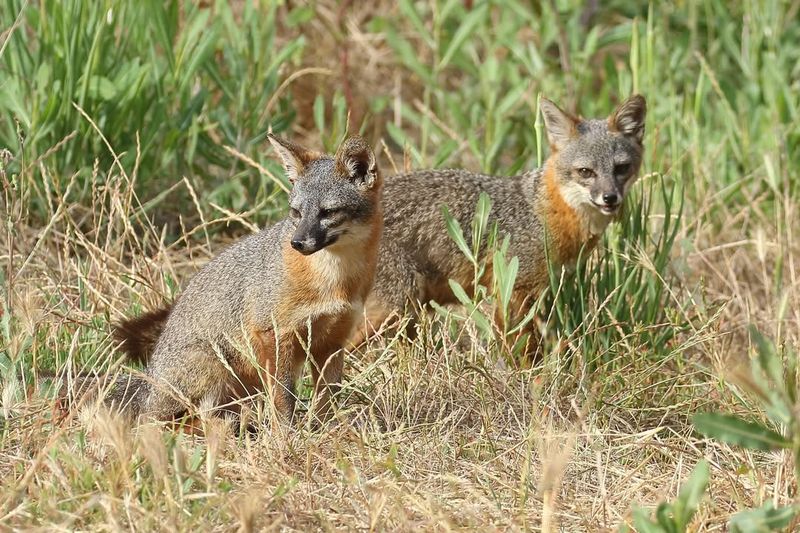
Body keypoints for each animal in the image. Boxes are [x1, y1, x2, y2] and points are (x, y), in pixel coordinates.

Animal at [93, 134, 382, 424]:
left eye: (328, 212)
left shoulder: (333, 341)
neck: (334, 279)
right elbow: (284, 396)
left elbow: (328, 399)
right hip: (212, 366)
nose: (297, 242)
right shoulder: (273, 333)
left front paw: (326, 428)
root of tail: (149, 378)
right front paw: (287, 432)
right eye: (296, 212)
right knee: (167, 420)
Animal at [109, 95, 644, 362]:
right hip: (395, 306)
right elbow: (516, 353)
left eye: (621, 168)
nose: (610, 199)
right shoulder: (511, 295)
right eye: (585, 172)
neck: (541, 210)